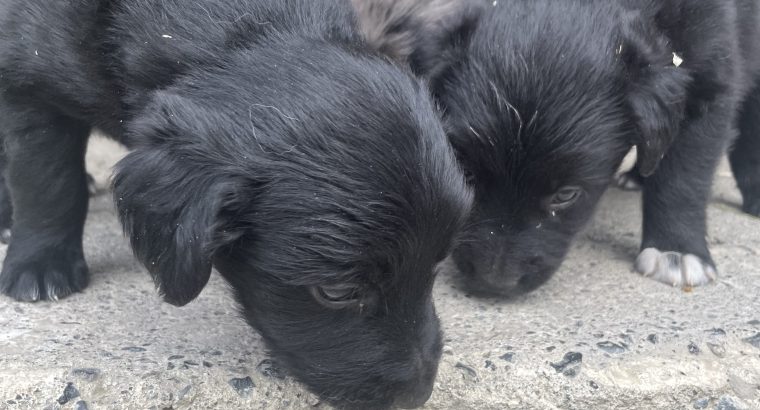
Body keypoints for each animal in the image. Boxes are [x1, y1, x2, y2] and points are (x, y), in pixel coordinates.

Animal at [0, 0, 472, 406]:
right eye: (337, 292)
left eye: (436, 263)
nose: (417, 396)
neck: (250, 25)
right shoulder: (29, 79)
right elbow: (48, 182)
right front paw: (41, 264)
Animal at [354, 0, 760, 294]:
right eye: (466, 174)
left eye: (566, 195)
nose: (494, 282)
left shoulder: (711, 77)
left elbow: (684, 178)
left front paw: (676, 249)